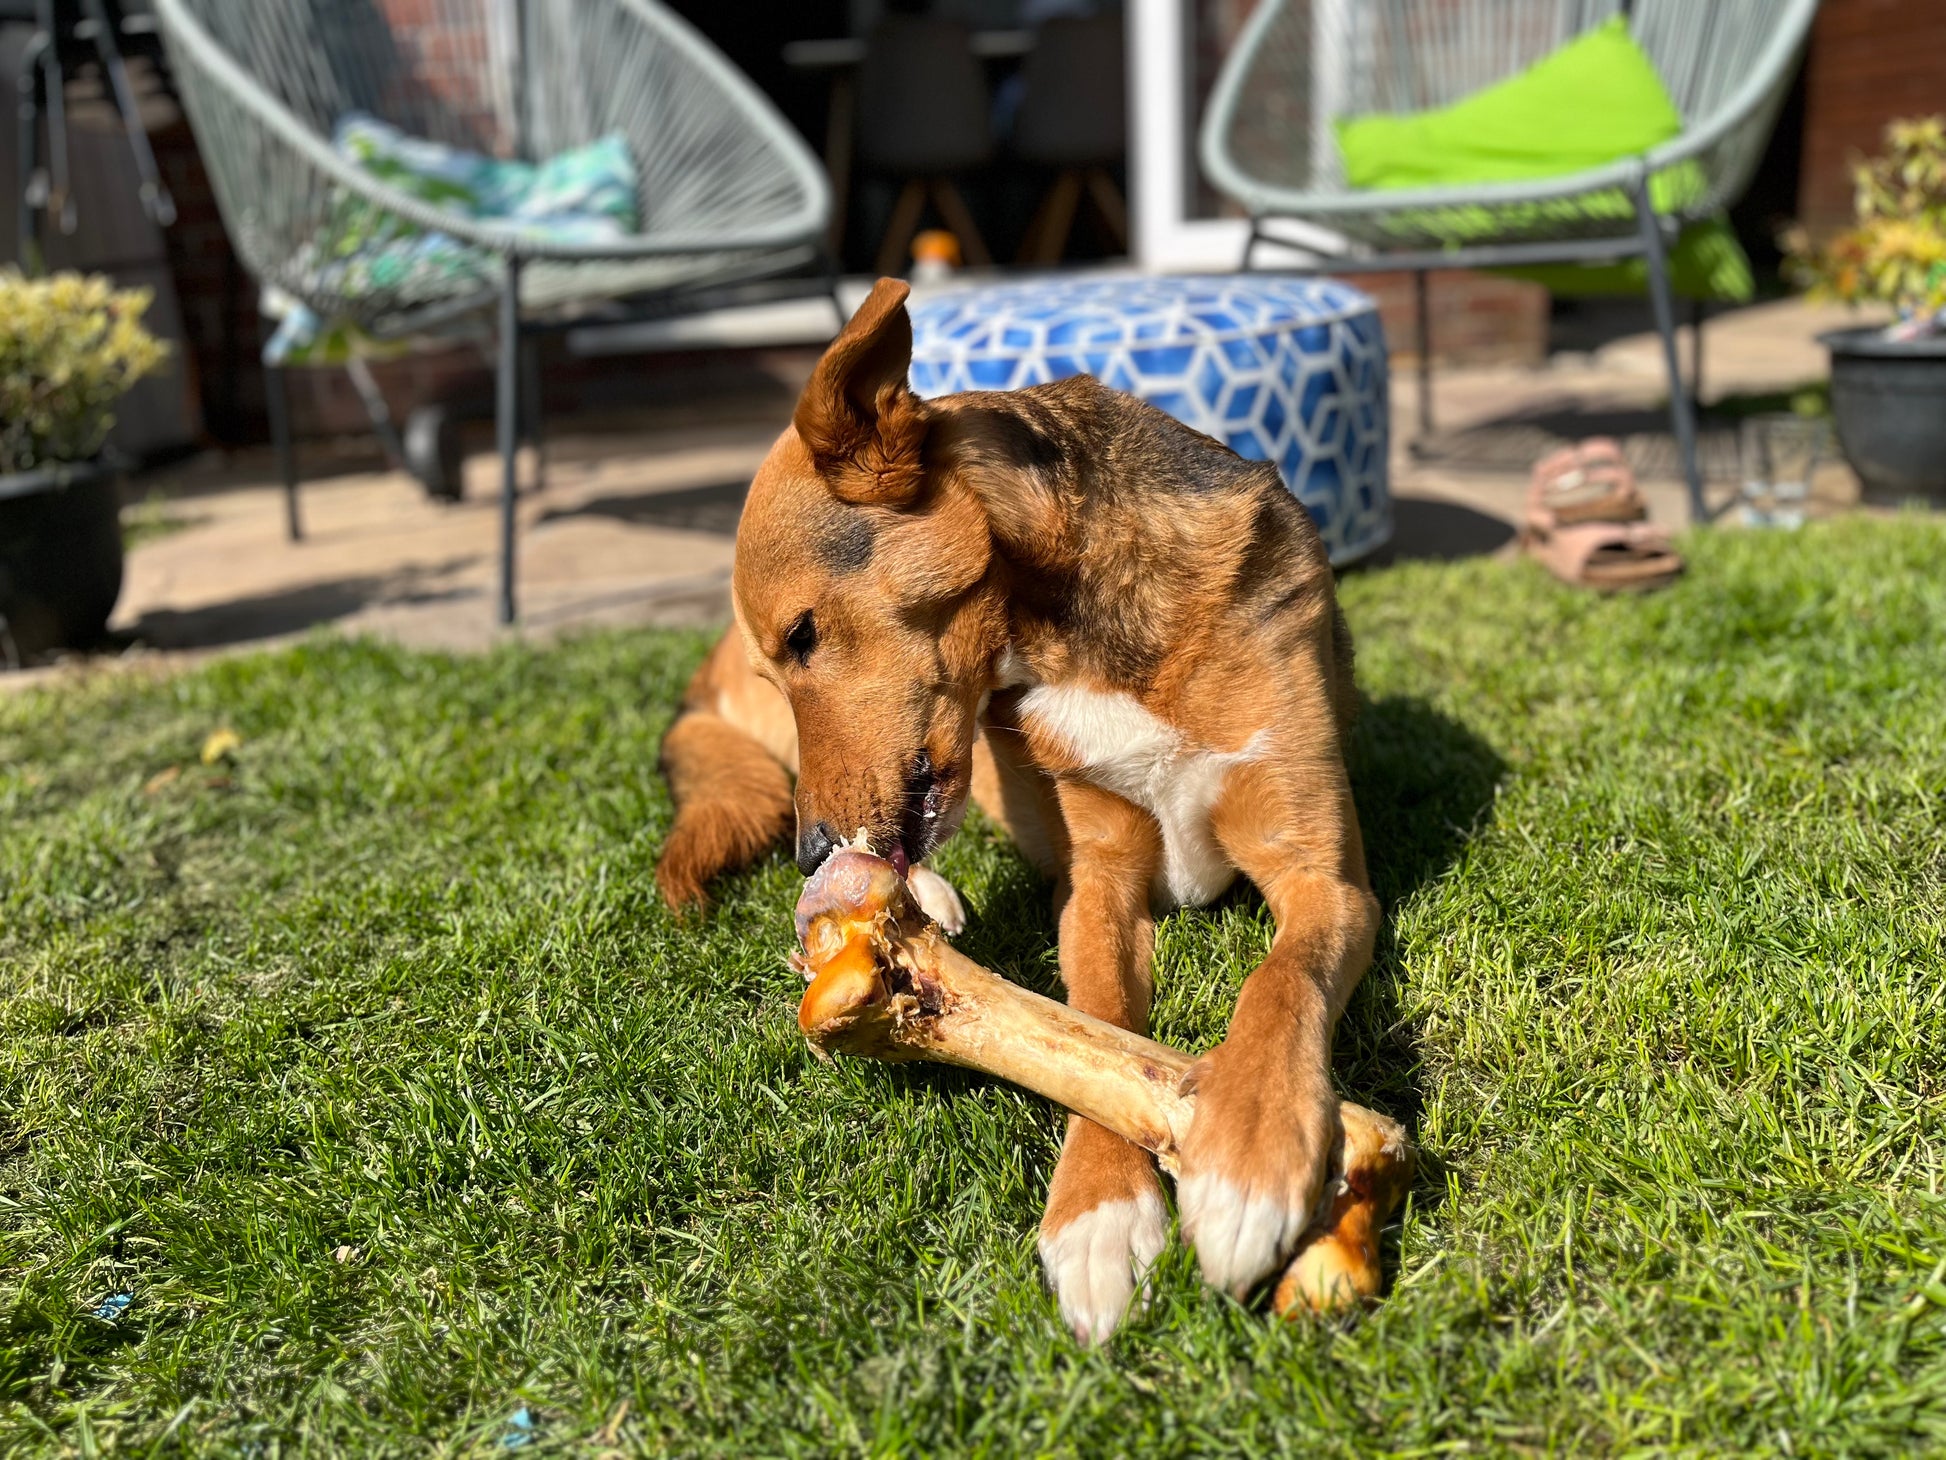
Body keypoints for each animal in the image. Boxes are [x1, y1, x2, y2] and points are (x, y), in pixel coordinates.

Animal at [661, 280, 1377, 1347]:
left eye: (803, 635)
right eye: (779, 659)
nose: (809, 851)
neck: (1079, 626)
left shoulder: (1323, 877)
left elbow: (1279, 982)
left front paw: (1248, 1148)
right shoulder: (1099, 886)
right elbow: (1096, 1021)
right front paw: (1098, 1209)